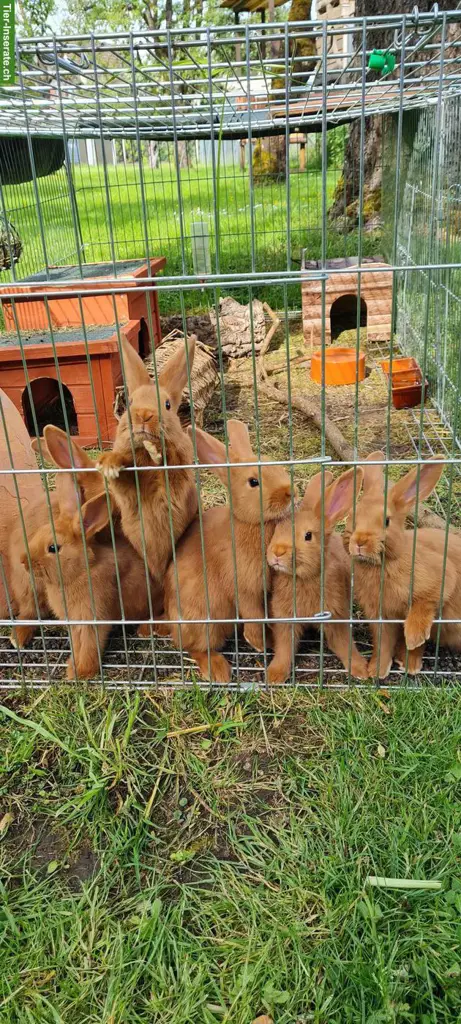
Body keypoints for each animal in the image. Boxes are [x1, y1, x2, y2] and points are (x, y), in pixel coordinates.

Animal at [25, 470, 155, 680]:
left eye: (53, 548)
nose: (24, 561)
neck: (80, 571)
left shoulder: (92, 619)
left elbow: (89, 644)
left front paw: (82, 672)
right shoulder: (76, 623)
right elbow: (77, 645)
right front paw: (72, 666)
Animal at [96, 332, 198, 587]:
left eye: (167, 405)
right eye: (130, 402)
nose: (143, 415)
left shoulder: (176, 483)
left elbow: (171, 466)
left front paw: (160, 452)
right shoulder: (129, 492)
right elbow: (122, 479)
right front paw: (109, 464)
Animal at [158, 420, 296, 683]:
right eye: (253, 482)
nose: (289, 493)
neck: (251, 523)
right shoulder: (242, 586)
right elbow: (253, 613)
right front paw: (258, 642)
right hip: (204, 623)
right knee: (194, 647)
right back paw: (219, 671)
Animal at [266, 468, 369, 684]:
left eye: (308, 536)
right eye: (277, 529)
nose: (277, 552)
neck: (304, 578)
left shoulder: (336, 615)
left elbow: (345, 643)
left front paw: (361, 669)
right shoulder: (285, 619)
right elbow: (284, 648)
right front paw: (274, 674)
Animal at [343, 451, 458, 678]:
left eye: (386, 521)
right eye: (352, 516)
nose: (359, 541)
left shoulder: (441, 578)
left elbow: (424, 606)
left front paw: (413, 639)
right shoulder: (380, 617)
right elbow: (383, 643)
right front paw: (376, 670)